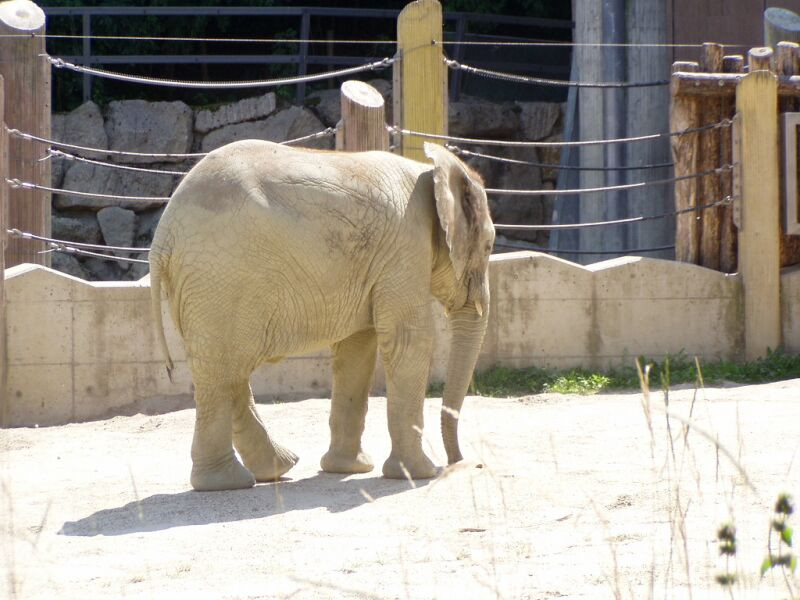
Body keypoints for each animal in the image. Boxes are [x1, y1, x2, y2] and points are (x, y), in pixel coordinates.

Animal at [147, 141, 490, 492]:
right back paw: (226, 483)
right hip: (220, 277)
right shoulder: (406, 248)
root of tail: (163, 235)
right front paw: (419, 474)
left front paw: (350, 468)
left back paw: (275, 469)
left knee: (228, 372)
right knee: (223, 370)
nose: (461, 462)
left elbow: (357, 349)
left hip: (202, 287)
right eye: (489, 247)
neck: (431, 170)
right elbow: (409, 341)